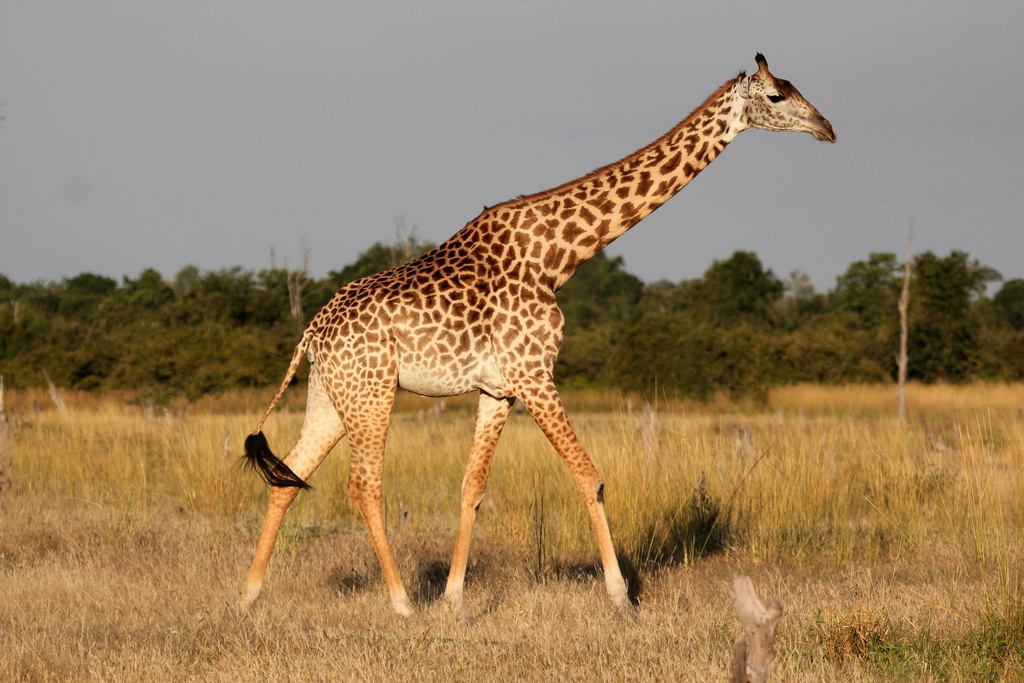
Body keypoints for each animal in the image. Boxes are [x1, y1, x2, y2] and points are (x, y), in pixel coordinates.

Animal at [239, 54, 831, 618]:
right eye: (777, 96)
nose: (827, 128)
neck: (559, 255)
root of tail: (311, 331)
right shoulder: (535, 373)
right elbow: (590, 478)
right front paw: (621, 598)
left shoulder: (498, 389)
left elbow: (472, 489)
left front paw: (454, 601)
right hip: (372, 394)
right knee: (363, 486)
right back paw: (402, 603)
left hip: (331, 396)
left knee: (288, 477)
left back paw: (247, 598)